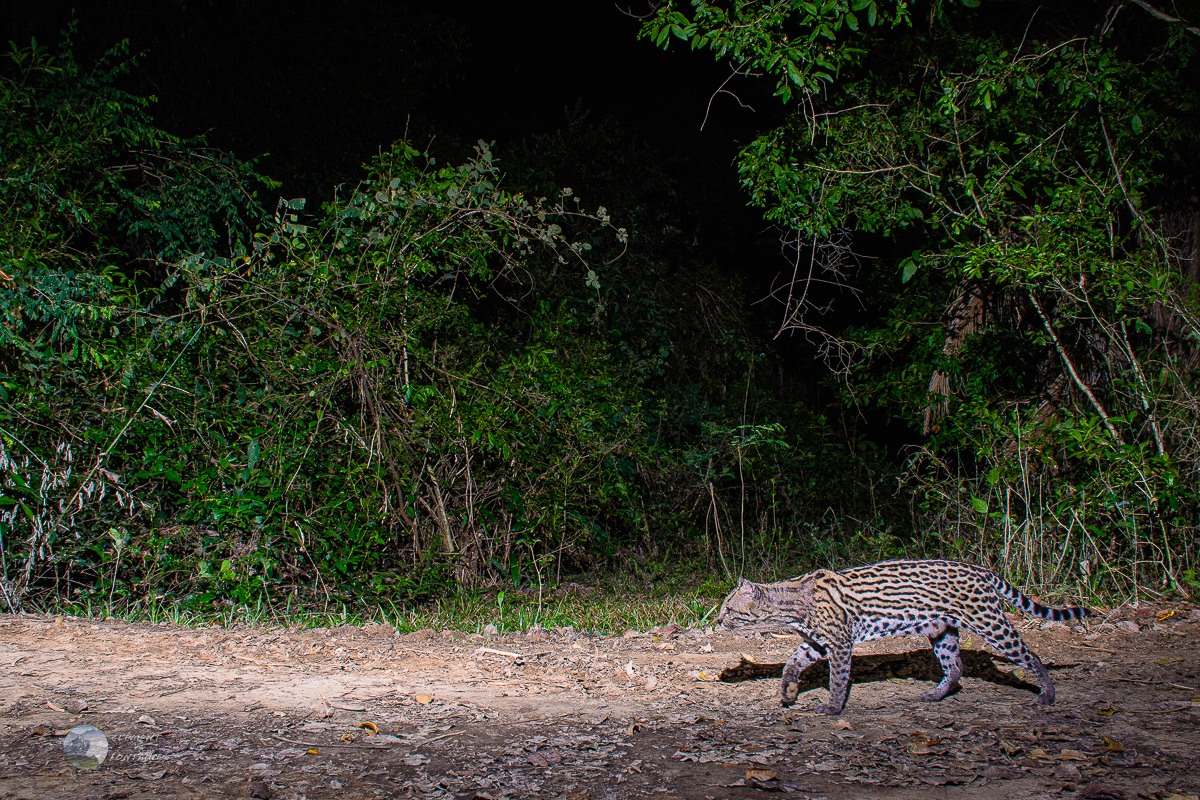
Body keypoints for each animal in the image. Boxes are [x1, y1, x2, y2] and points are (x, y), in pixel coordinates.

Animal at [715, 561, 1094, 714]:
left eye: (729, 609)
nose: (717, 622)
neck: (792, 604)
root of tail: (984, 570)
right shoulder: (816, 642)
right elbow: (790, 664)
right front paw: (788, 692)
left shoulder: (839, 643)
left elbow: (838, 679)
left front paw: (833, 707)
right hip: (942, 632)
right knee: (955, 669)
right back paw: (936, 694)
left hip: (990, 624)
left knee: (1031, 656)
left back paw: (1048, 694)